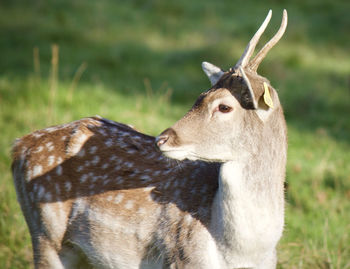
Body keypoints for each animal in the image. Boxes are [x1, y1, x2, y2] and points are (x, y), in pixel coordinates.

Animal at [12, 9, 288, 266]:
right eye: (199, 96)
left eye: (224, 107)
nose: (162, 138)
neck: (241, 254)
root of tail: (19, 146)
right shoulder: (182, 259)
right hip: (45, 234)